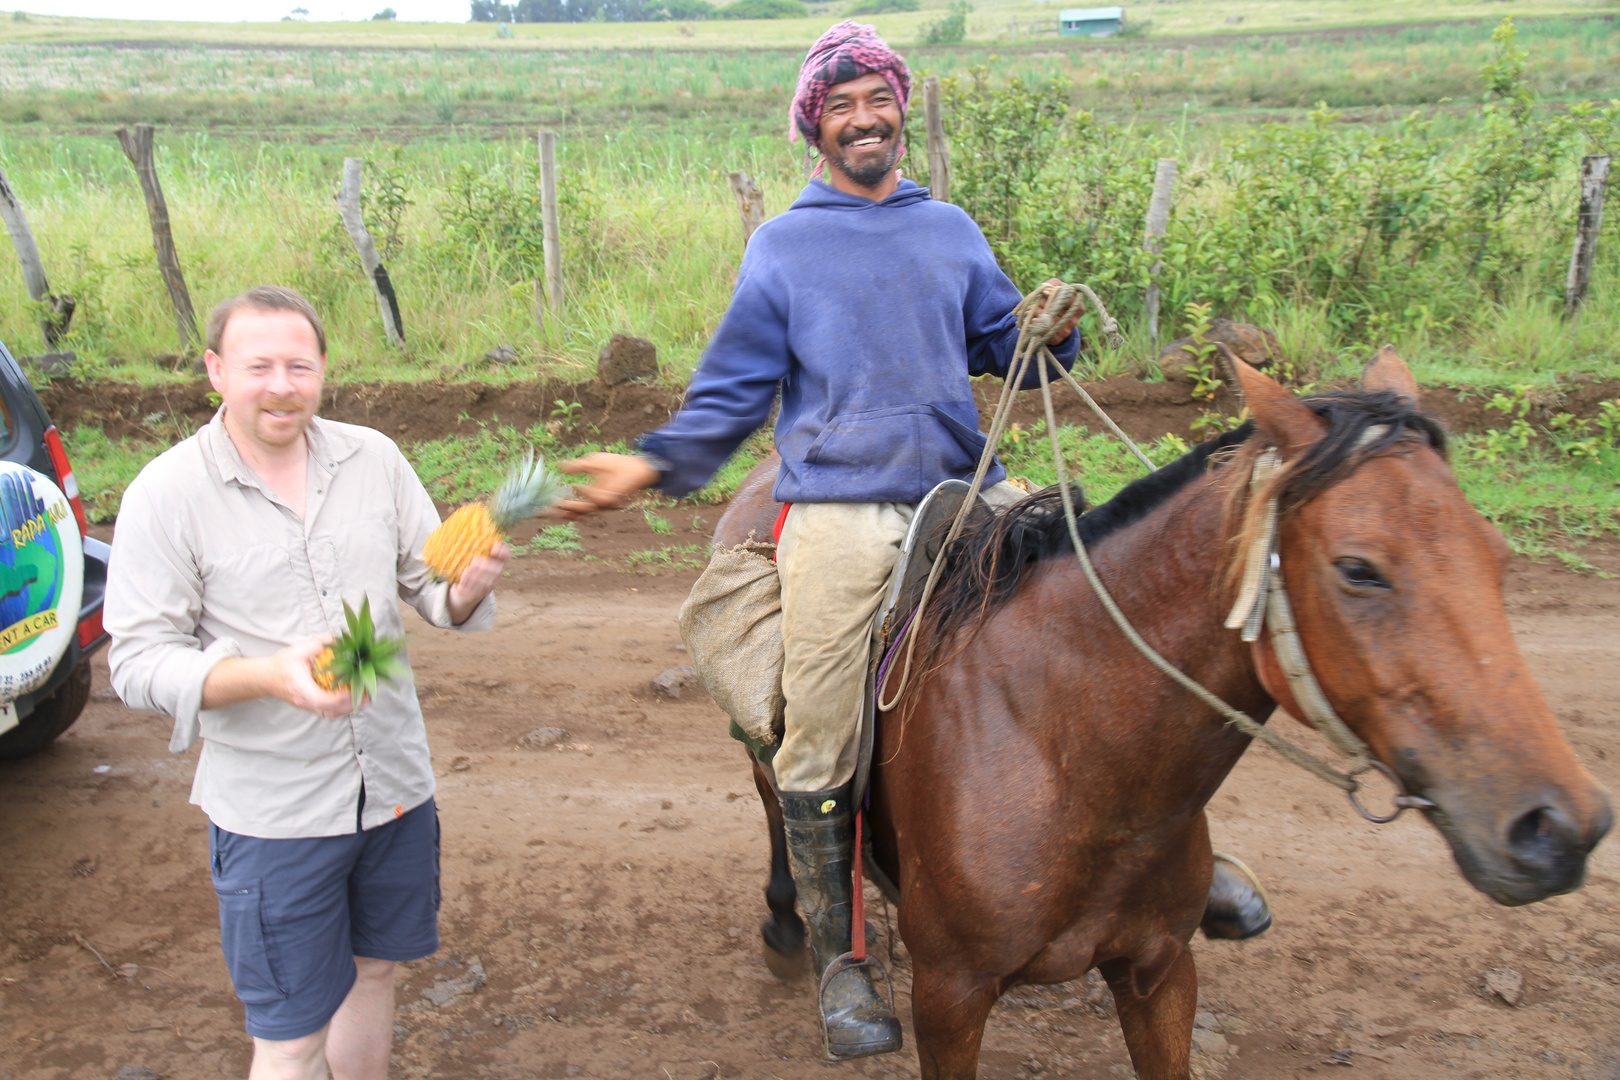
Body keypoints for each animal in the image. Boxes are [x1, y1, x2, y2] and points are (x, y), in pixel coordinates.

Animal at [719, 351, 1607, 1075]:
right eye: (1359, 569)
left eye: (1496, 556)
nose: (1562, 827)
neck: (1064, 746)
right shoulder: (951, 997)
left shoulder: (1161, 972)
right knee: (785, 802)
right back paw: (800, 937)